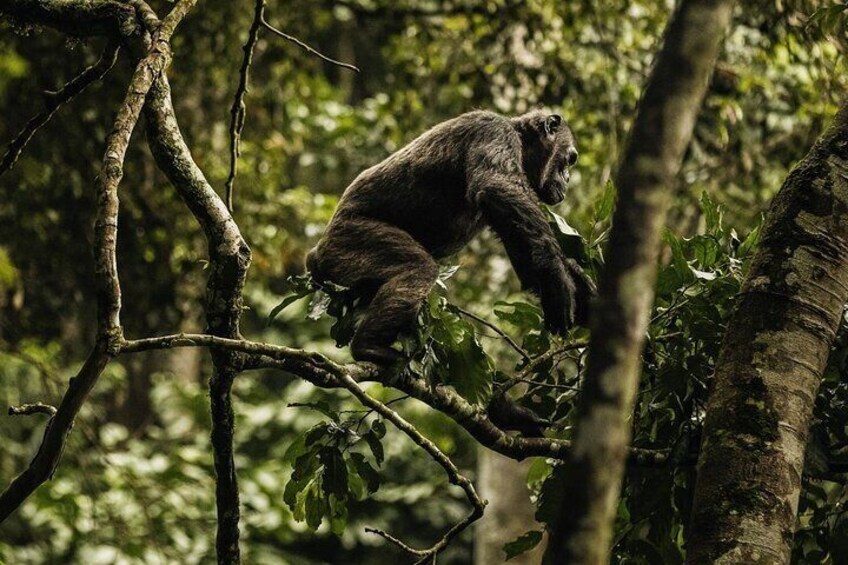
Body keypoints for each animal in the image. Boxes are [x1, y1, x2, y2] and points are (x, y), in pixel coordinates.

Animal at [305, 110, 595, 432]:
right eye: (570, 159)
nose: (567, 178)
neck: (520, 141)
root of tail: (315, 255)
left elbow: (528, 259)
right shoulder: (493, 132)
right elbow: (498, 187)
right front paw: (559, 284)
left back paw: (505, 411)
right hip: (350, 243)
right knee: (417, 269)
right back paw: (369, 347)